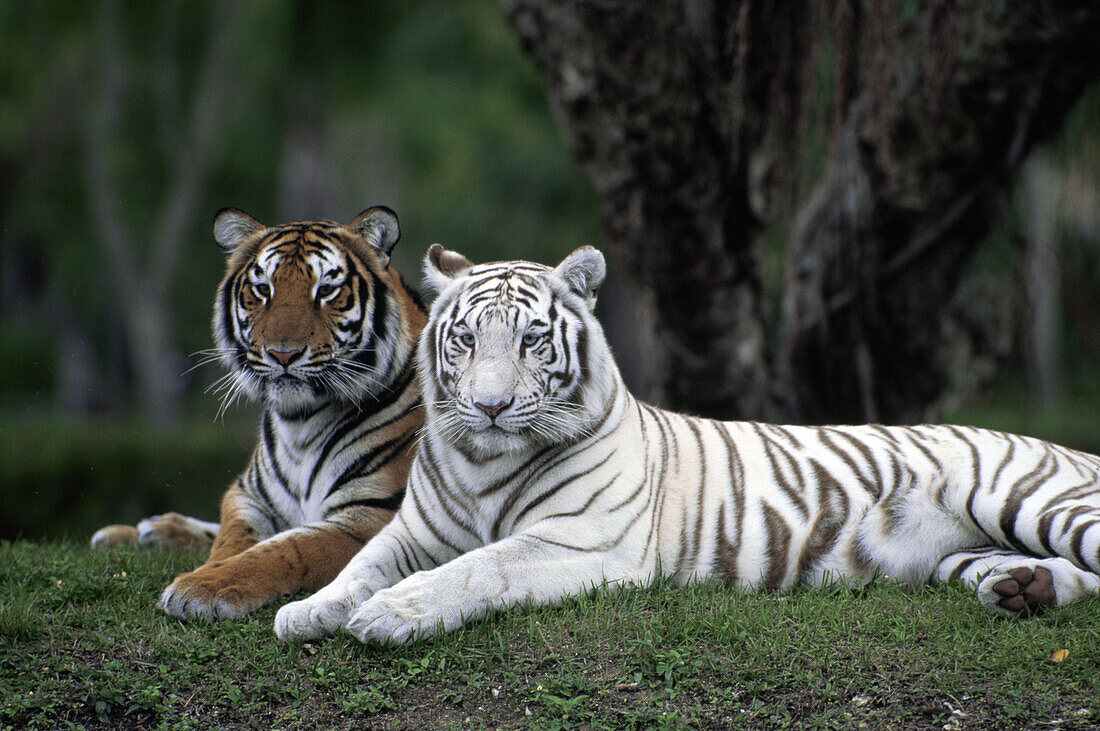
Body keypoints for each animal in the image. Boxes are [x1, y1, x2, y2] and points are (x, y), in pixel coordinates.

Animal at [272, 241, 1100, 641]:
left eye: (533, 338)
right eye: (467, 338)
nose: (490, 406)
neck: (482, 462)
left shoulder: (583, 542)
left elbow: (481, 566)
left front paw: (390, 615)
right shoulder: (414, 531)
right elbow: (359, 565)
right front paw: (308, 610)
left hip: (1034, 498)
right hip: (967, 548)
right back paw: (1023, 590)